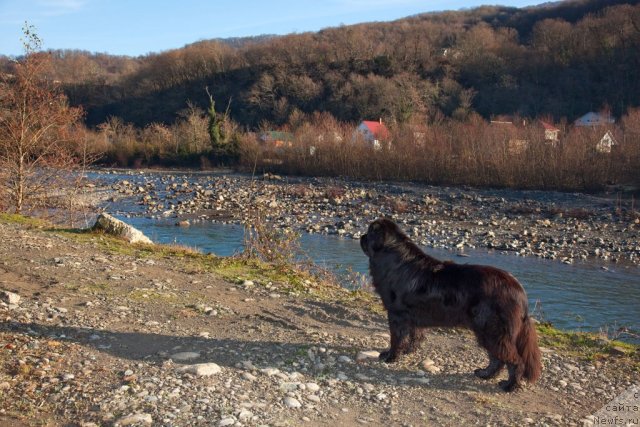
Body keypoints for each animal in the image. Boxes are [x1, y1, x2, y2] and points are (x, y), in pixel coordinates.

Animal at [360, 219, 540, 392]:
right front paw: (407, 352)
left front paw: (390, 357)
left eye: (369, 233)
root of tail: (518, 289)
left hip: (492, 330)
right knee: (497, 358)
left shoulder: (397, 315)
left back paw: (510, 386)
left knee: (515, 361)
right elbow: (413, 336)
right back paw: (485, 374)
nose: (361, 236)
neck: (392, 258)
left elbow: (396, 339)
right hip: (487, 331)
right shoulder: (413, 317)